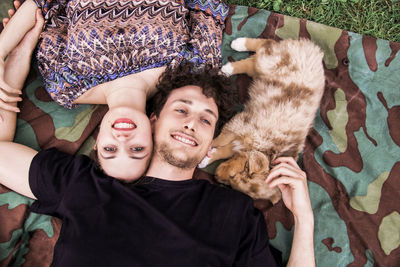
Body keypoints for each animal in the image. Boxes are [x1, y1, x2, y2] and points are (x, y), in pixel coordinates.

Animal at [202, 37, 326, 204]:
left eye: (231, 183)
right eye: (234, 176)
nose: (215, 176)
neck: (268, 151)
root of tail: (313, 50)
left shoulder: (240, 142)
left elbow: (222, 151)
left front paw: (206, 159)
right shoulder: (242, 124)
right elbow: (219, 140)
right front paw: (206, 149)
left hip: (262, 71)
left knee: (252, 62)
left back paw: (229, 66)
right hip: (271, 62)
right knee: (265, 44)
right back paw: (237, 48)